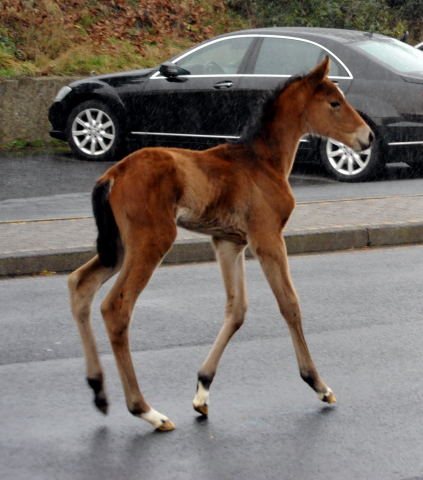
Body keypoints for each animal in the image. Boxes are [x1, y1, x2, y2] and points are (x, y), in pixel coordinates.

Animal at [68, 56, 372, 432]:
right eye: (334, 103)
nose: (368, 136)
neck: (264, 161)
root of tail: (112, 175)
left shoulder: (229, 243)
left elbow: (237, 309)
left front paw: (203, 390)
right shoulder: (267, 237)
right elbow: (289, 303)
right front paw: (318, 384)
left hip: (119, 246)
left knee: (80, 284)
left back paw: (99, 391)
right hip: (152, 238)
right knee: (116, 307)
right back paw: (146, 410)